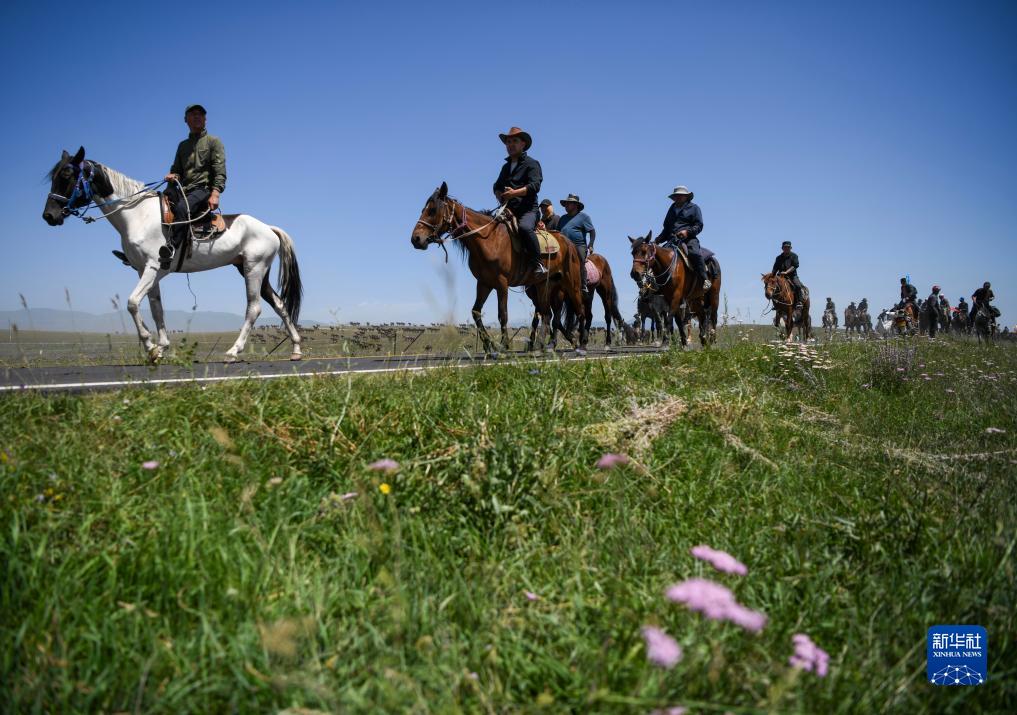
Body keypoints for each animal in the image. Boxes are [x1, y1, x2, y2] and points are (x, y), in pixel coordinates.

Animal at [41, 149, 301, 364]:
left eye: (67, 174)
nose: (49, 216)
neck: (136, 215)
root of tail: (269, 228)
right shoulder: (146, 271)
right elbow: (156, 308)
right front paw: (161, 347)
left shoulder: (153, 267)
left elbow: (132, 303)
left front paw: (149, 345)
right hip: (253, 270)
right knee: (279, 304)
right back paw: (296, 349)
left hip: (253, 269)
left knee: (253, 308)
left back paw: (233, 352)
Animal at [408, 182, 589, 355]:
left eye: (432, 210)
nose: (416, 239)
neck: (488, 239)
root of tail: (569, 243)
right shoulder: (484, 283)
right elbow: (476, 312)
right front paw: (489, 345)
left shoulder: (502, 283)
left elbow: (503, 314)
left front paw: (503, 345)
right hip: (544, 285)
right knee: (546, 314)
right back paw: (540, 346)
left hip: (571, 284)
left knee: (580, 311)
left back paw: (581, 345)